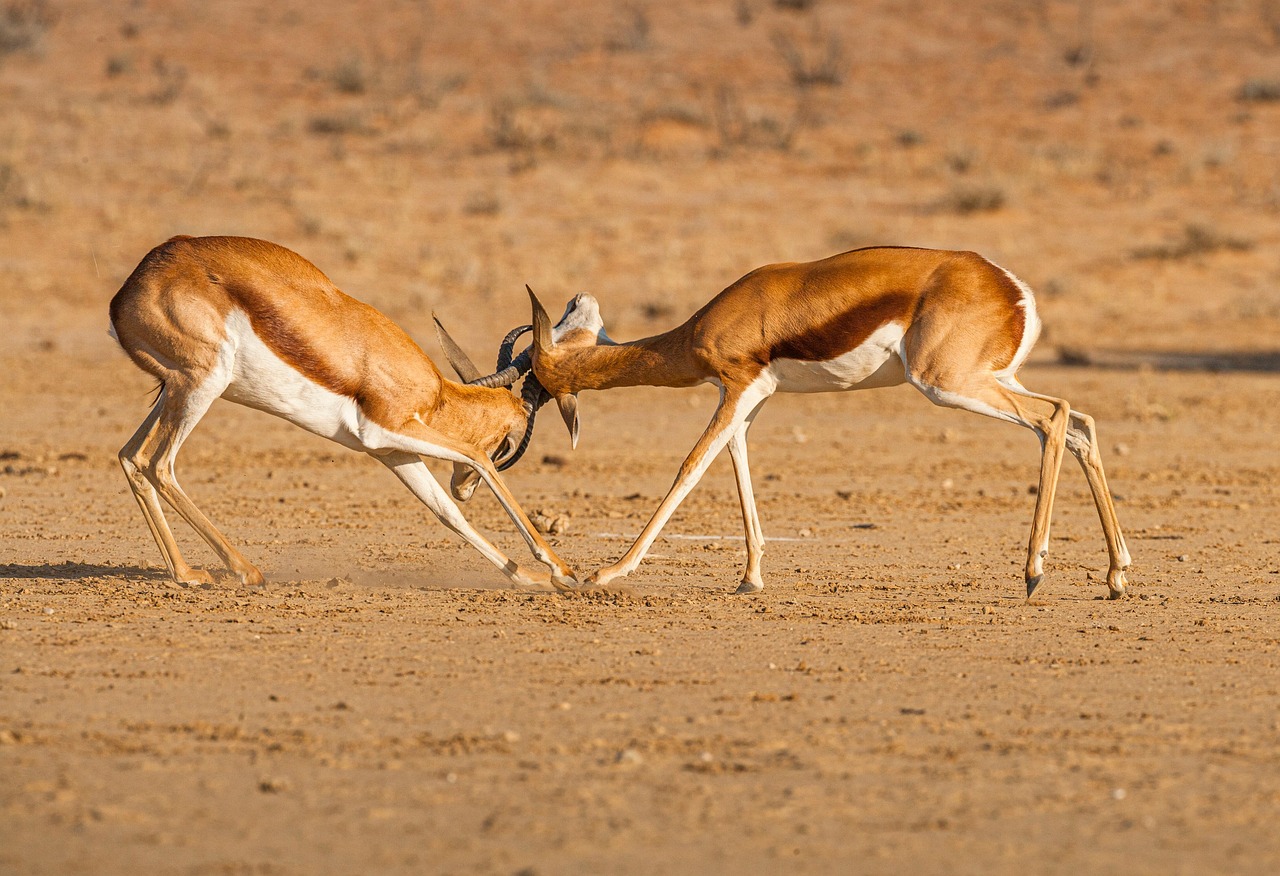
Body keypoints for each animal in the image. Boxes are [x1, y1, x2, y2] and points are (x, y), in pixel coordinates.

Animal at [107, 234, 578, 589]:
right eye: (508, 444)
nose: (462, 488)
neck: (436, 394)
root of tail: (127, 291)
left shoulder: (392, 451)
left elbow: (447, 512)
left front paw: (531, 579)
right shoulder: (387, 429)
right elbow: (476, 457)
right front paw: (563, 572)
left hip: (174, 390)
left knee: (130, 457)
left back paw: (187, 573)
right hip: (201, 384)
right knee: (158, 463)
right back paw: (243, 571)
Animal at [504, 249, 1136, 599]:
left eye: (534, 372)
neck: (702, 328)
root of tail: (1013, 290)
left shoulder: (737, 388)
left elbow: (690, 467)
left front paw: (607, 573)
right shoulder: (749, 399)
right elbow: (737, 466)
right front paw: (750, 578)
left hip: (947, 384)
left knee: (1053, 417)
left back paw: (1034, 572)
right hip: (990, 380)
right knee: (1080, 424)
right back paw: (1116, 576)